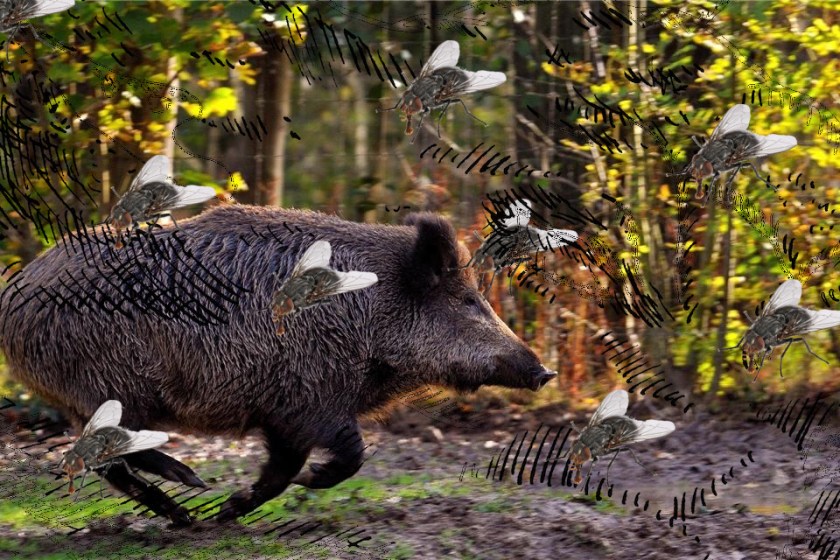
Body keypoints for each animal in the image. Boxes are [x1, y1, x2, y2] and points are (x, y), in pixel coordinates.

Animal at [0, 204, 556, 523]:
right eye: (468, 301)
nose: (544, 372)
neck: (368, 313)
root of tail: (15, 294)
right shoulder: (311, 396)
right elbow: (350, 455)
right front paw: (299, 485)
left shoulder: (285, 412)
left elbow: (282, 469)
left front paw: (229, 511)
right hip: (111, 386)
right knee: (109, 454)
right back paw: (188, 492)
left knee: (104, 458)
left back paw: (189, 510)